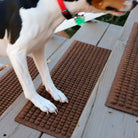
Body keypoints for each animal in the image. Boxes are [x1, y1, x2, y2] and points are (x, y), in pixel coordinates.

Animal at [0, 0, 137, 113]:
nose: (136, 2)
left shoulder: (38, 46)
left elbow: (46, 73)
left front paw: (54, 92)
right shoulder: (16, 52)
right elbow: (28, 84)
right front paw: (40, 101)